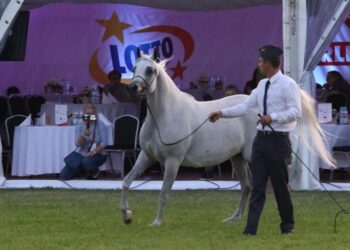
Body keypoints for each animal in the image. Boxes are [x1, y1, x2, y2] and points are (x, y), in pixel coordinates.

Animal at [120, 49, 334, 226]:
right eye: (134, 68)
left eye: (150, 70)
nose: (132, 88)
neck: (165, 115)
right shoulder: (146, 156)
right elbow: (126, 181)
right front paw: (127, 216)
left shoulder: (173, 161)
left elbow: (164, 193)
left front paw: (156, 222)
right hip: (237, 159)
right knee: (247, 187)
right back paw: (234, 218)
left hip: (253, 157)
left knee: (275, 184)